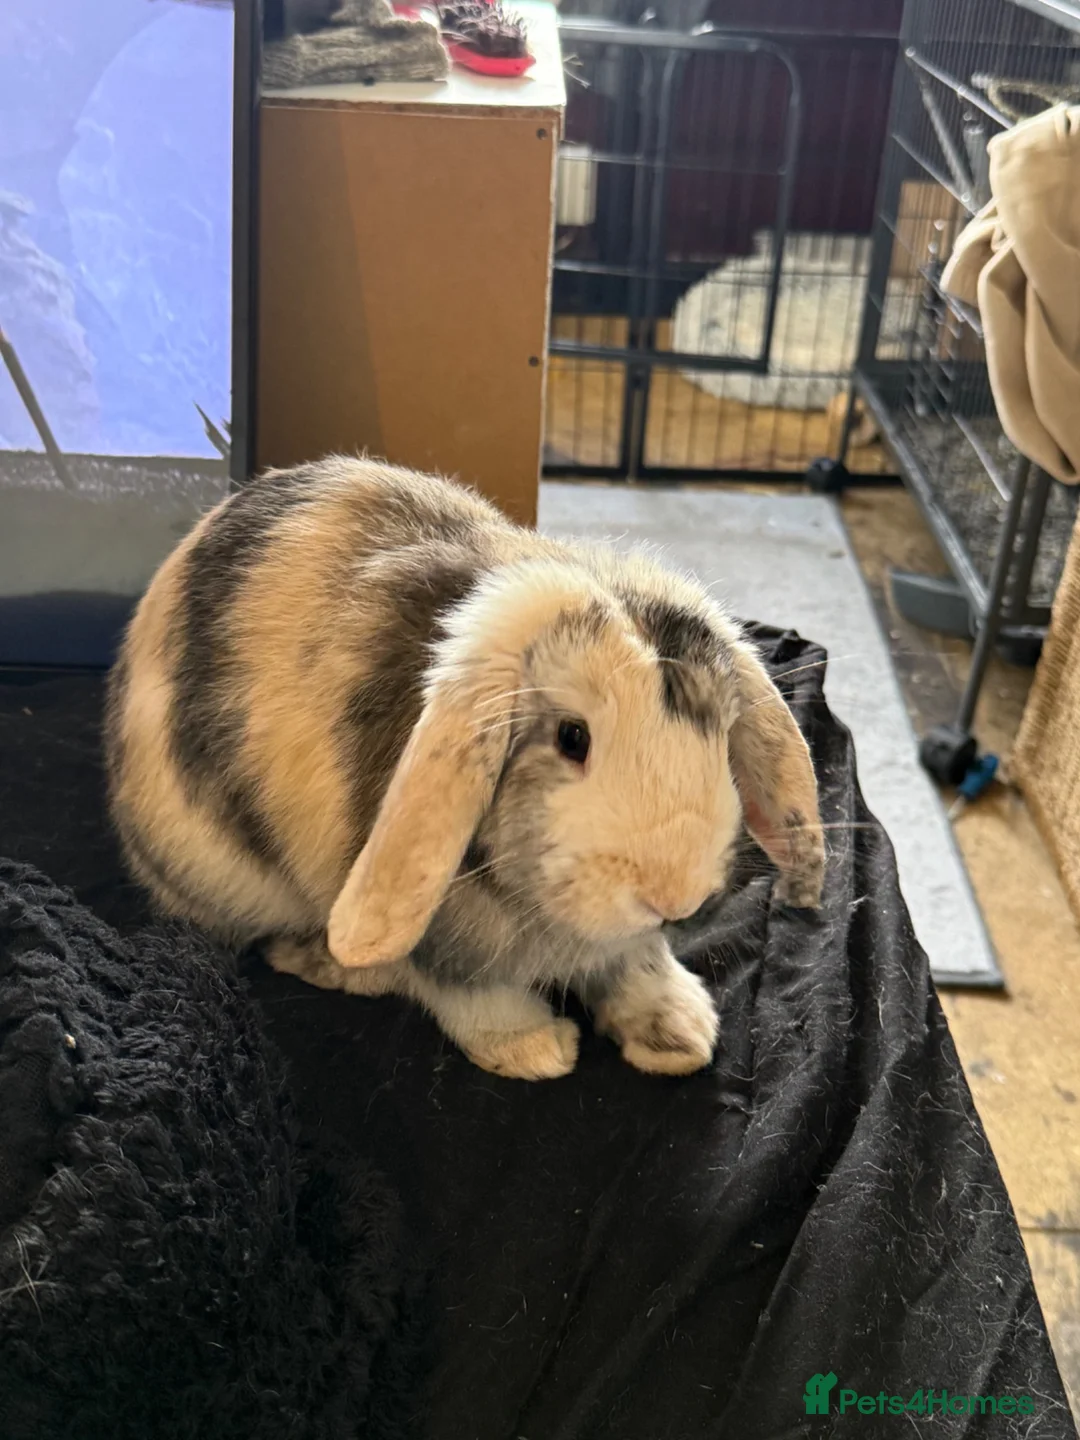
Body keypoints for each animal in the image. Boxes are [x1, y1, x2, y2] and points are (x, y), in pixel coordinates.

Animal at [105, 455, 825, 1081]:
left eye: (719, 735)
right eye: (572, 737)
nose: (677, 898)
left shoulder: (623, 941)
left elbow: (636, 960)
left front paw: (679, 1032)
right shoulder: (437, 936)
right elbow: (463, 989)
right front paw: (534, 1049)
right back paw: (336, 965)